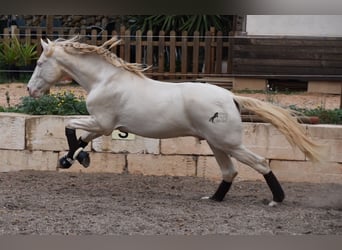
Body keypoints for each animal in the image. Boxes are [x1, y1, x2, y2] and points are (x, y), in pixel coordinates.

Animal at [27, 36, 324, 205]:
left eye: (40, 63)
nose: (30, 90)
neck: (106, 79)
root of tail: (231, 97)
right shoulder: (103, 126)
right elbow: (80, 139)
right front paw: (73, 158)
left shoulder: (102, 122)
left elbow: (69, 126)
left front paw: (71, 159)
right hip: (217, 144)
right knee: (229, 171)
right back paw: (213, 198)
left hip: (228, 143)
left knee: (260, 163)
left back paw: (277, 199)